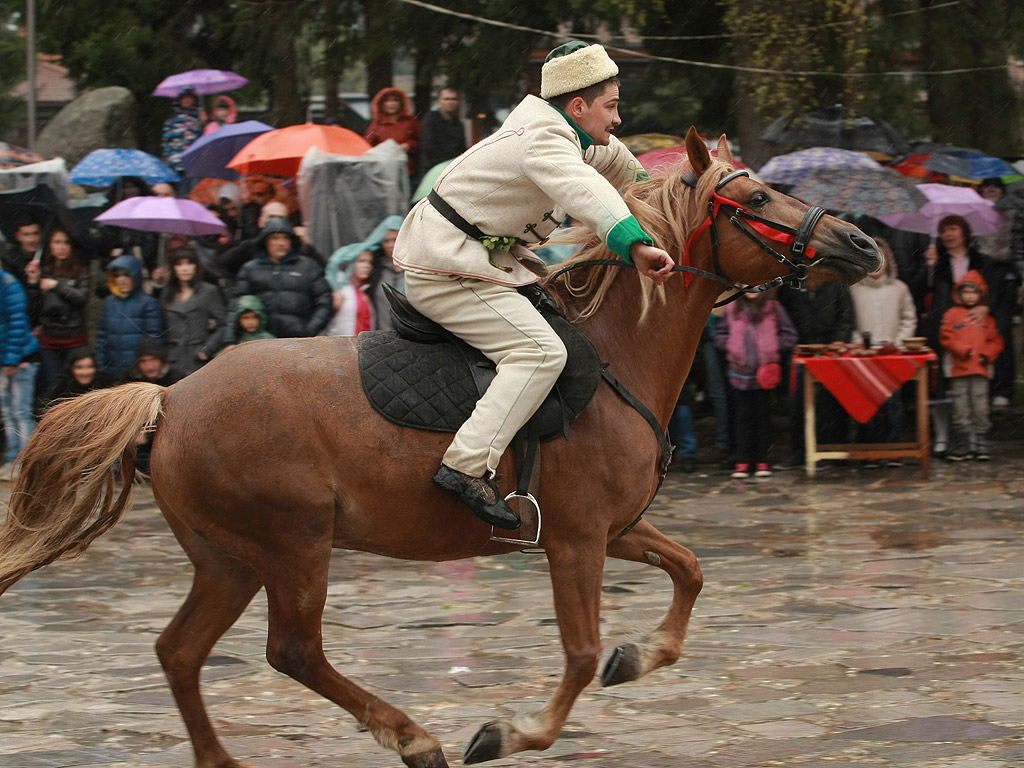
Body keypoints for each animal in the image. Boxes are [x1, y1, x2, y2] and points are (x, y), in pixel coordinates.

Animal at [0, 129, 880, 765]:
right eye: (756, 196)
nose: (862, 243)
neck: (617, 355)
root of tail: (172, 397)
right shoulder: (576, 539)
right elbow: (580, 651)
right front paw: (513, 733)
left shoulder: (615, 530)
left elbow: (689, 573)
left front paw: (642, 656)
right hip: (291, 546)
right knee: (294, 651)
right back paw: (413, 737)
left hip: (230, 560)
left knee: (181, 653)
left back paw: (227, 759)